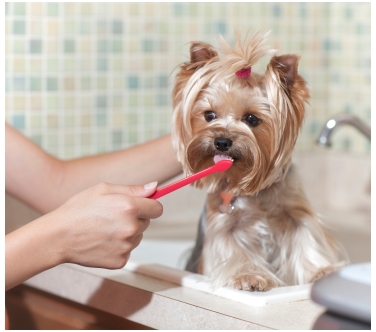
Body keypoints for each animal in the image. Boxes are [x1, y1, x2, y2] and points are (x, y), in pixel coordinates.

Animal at [170, 31, 346, 290]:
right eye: (209, 115)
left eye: (252, 119)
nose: (222, 141)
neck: (253, 189)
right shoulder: (223, 224)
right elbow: (234, 252)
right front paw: (249, 277)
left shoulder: (296, 214)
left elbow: (306, 241)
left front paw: (323, 270)